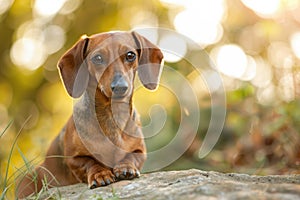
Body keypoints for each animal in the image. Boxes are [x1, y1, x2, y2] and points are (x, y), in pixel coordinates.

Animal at [16, 31, 164, 198]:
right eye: (98, 58)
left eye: (130, 55)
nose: (120, 87)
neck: (111, 118)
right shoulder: (73, 159)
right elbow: (90, 162)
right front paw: (101, 174)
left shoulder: (140, 151)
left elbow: (132, 156)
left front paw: (126, 167)